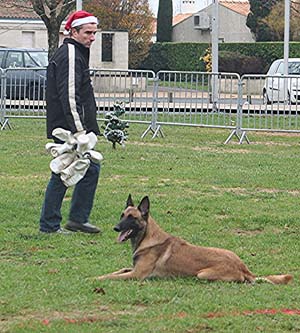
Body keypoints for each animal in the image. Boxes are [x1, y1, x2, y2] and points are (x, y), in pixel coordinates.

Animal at [98, 195, 292, 282]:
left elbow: (109, 277)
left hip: (203, 274)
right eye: (122, 215)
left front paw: (94, 279)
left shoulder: (137, 274)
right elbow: (116, 271)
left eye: (132, 218)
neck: (147, 238)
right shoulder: (131, 269)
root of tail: (244, 269)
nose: (115, 228)